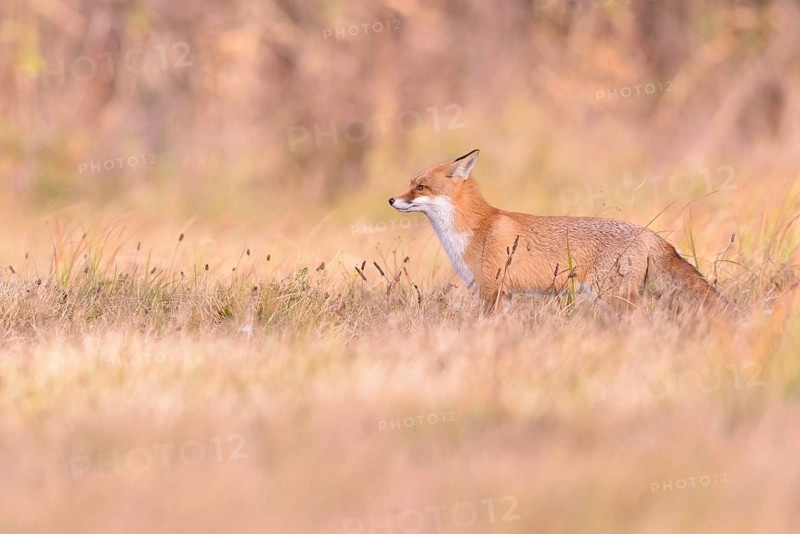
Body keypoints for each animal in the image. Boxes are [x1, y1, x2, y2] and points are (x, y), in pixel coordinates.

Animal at [389, 149, 727, 315]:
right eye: (411, 184)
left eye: (421, 187)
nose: (391, 200)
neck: (472, 229)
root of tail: (647, 232)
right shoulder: (503, 295)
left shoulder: (491, 291)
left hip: (611, 295)